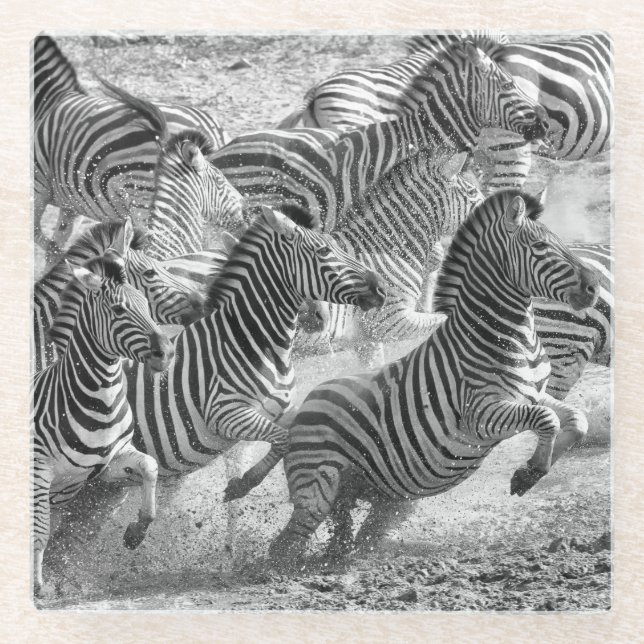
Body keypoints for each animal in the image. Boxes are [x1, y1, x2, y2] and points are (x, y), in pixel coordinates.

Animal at [32, 35, 242, 265]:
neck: (48, 100)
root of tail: (213, 126)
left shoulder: (38, 186)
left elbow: (40, 237)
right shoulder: (71, 203)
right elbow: (56, 242)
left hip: (143, 199)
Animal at [32, 252, 175, 596]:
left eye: (147, 306)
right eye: (119, 310)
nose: (167, 353)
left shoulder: (104, 465)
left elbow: (150, 466)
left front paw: (137, 531)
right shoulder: (40, 471)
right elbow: (40, 532)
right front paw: (39, 586)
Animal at [267, 190, 600, 563]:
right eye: (541, 246)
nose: (594, 287)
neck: (502, 335)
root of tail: (300, 409)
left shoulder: (533, 393)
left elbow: (576, 419)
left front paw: (535, 468)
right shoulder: (482, 414)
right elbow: (546, 419)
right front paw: (531, 473)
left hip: (366, 492)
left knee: (345, 535)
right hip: (317, 487)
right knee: (283, 548)